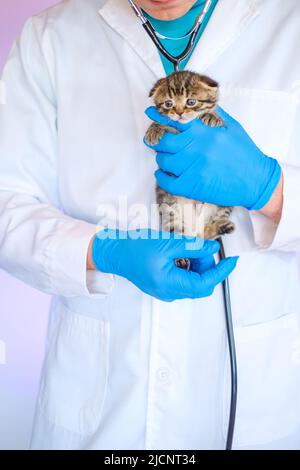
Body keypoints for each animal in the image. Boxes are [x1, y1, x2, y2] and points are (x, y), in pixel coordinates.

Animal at [145, 70, 234, 268]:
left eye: (191, 102)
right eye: (169, 103)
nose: (179, 113)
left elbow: (218, 120)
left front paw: (212, 117)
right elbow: (163, 125)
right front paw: (153, 129)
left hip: (226, 199)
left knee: (206, 235)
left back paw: (222, 226)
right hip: (169, 209)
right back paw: (181, 259)